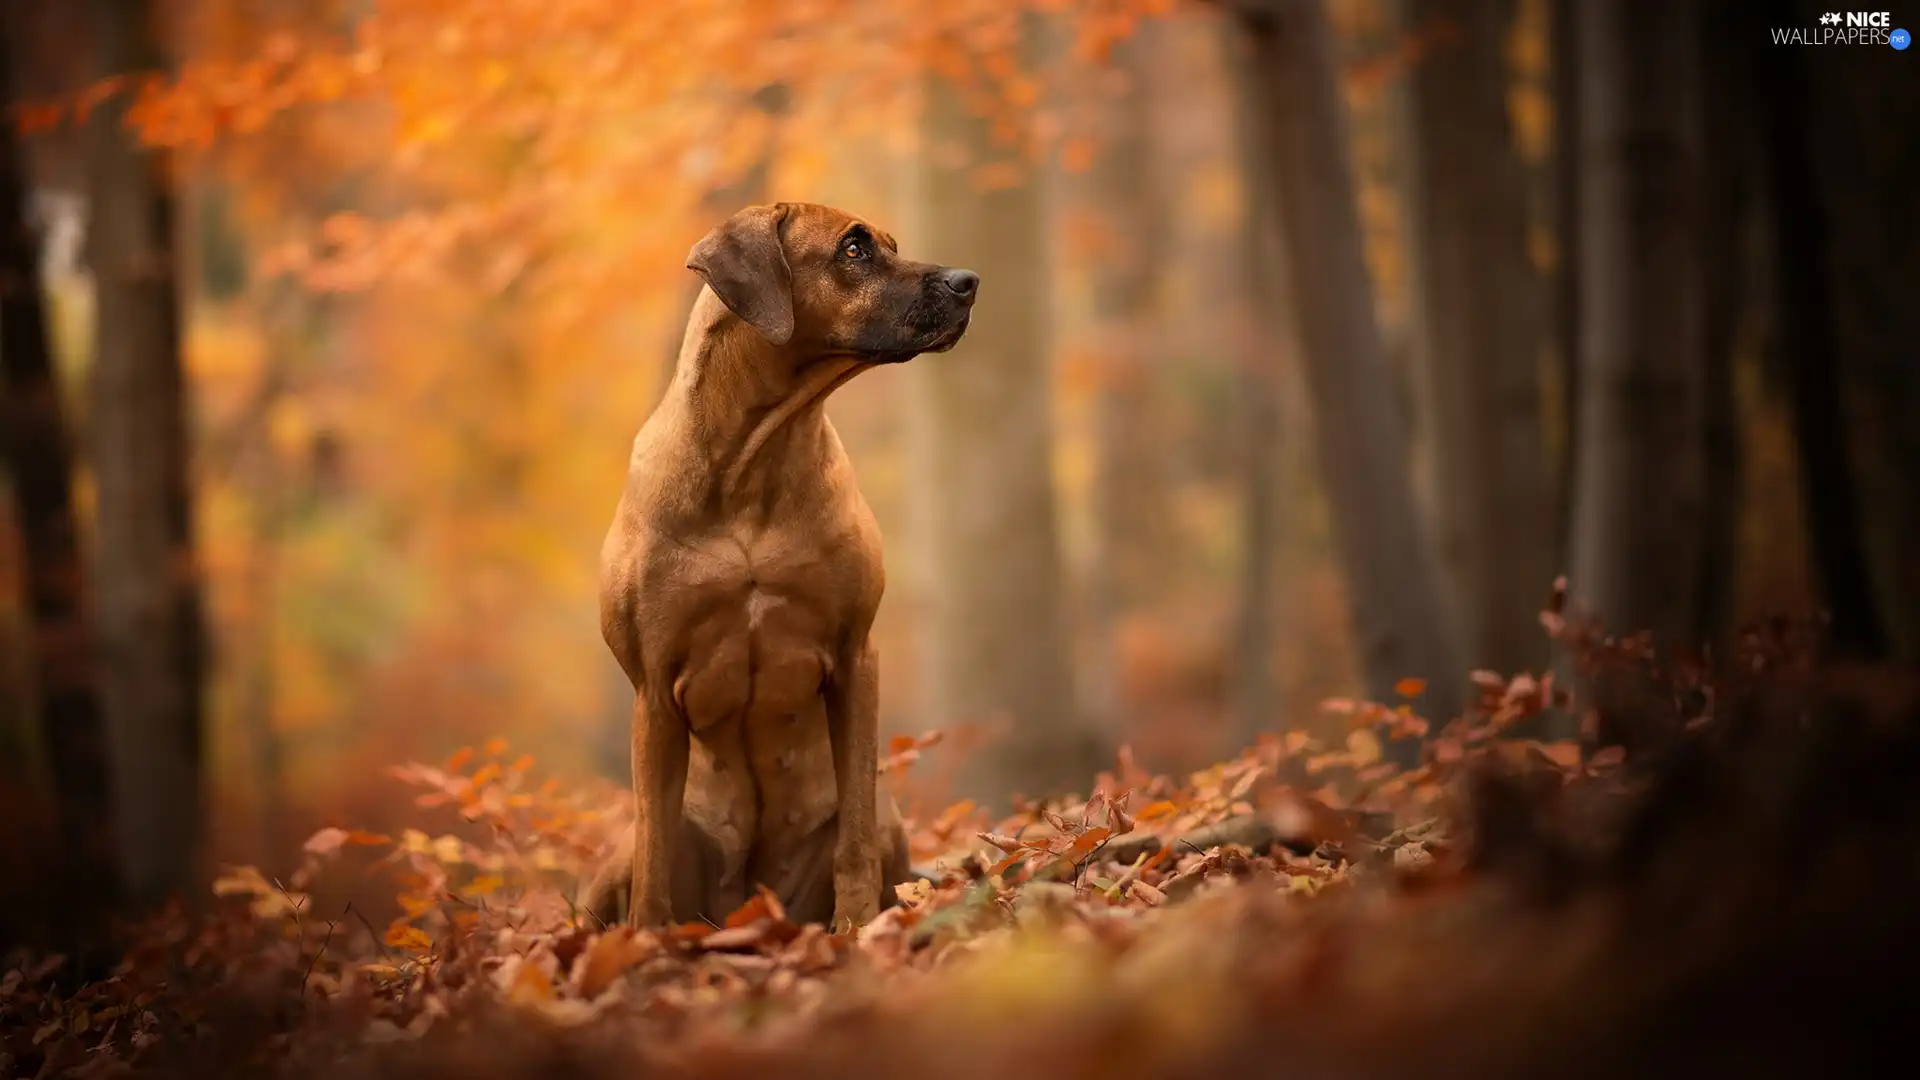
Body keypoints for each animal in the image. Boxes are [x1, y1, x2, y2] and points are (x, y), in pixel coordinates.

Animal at [576, 205, 983, 930]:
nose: (970, 281)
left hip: (884, 823)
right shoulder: (652, 690)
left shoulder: (855, 656)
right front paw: (644, 944)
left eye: (892, 244)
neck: (752, 459)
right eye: (854, 249)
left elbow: (854, 835)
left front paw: (857, 930)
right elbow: (652, 858)